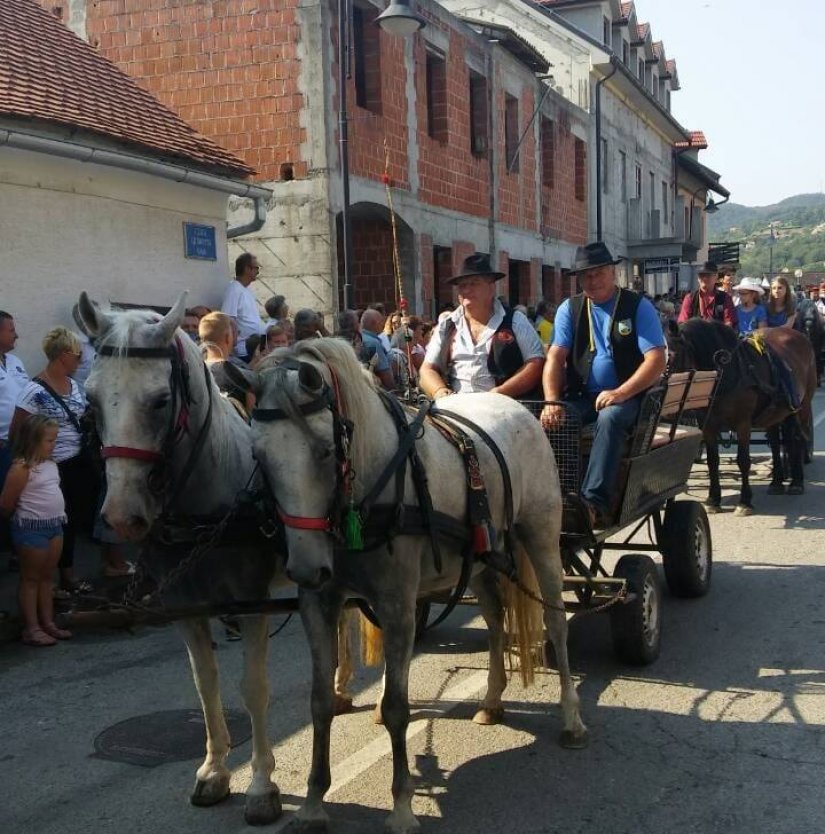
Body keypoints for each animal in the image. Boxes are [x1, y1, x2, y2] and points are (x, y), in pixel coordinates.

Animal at [238, 336, 584, 832]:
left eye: (325, 450)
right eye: (260, 457)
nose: (304, 568)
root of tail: (515, 407)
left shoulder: (399, 604)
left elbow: (398, 708)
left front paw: (401, 806)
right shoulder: (318, 603)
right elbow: (320, 702)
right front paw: (313, 802)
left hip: (540, 537)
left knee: (555, 624)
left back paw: (571, 718)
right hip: (481, 562)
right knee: (495, 622)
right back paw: (492, 699)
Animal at [668, 318, 816, 512]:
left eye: (672, 356)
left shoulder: (743, 423)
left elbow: (743, 460)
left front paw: (745, 501)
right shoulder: (707, 424)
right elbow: (713, 460)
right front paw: (713, 498)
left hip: (801, 406)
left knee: (797, 438)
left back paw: (796, 482)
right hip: (774, 413)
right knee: (776, 442)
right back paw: (776, 482)